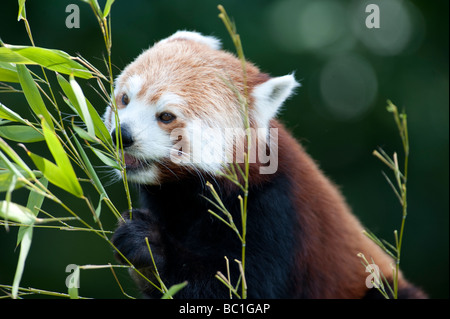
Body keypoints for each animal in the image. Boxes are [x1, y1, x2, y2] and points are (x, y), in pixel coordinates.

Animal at [104, 31, 426, 298]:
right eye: (125, 99)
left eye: (166, 116)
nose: (122, 135)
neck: (188, 196)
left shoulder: (277, 213)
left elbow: (240, 285)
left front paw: (147, 244)